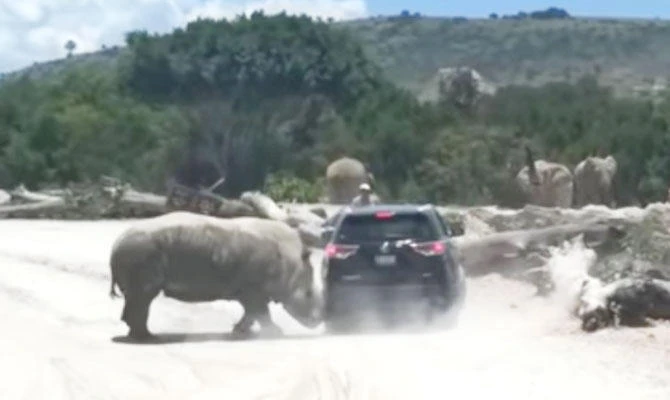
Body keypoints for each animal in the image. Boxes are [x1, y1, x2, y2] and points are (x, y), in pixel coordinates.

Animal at [109, 211, 324, 341]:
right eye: (308, 294)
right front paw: (276, 333)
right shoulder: (252, 289)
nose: (318, 322)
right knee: (144, 297)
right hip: (140, 252)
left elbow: (251, 312)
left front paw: (239, 331)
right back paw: (148, 338)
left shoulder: (247, 289)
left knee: (137, 297)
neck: (292, 262)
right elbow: (260, 312)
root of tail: (115, 244)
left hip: (136, 251)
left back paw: (140, 335)